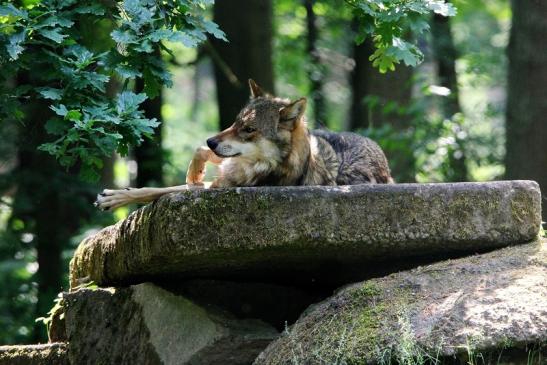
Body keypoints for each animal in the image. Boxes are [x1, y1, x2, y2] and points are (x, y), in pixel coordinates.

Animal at [95, 79, 394, 210]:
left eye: (250, 130)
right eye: (236, 123)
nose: (211, 140)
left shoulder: (220, 187)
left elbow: (162, 190)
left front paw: (114, 198)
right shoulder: (223, 170)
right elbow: (169, 182)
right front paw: (194, 168)